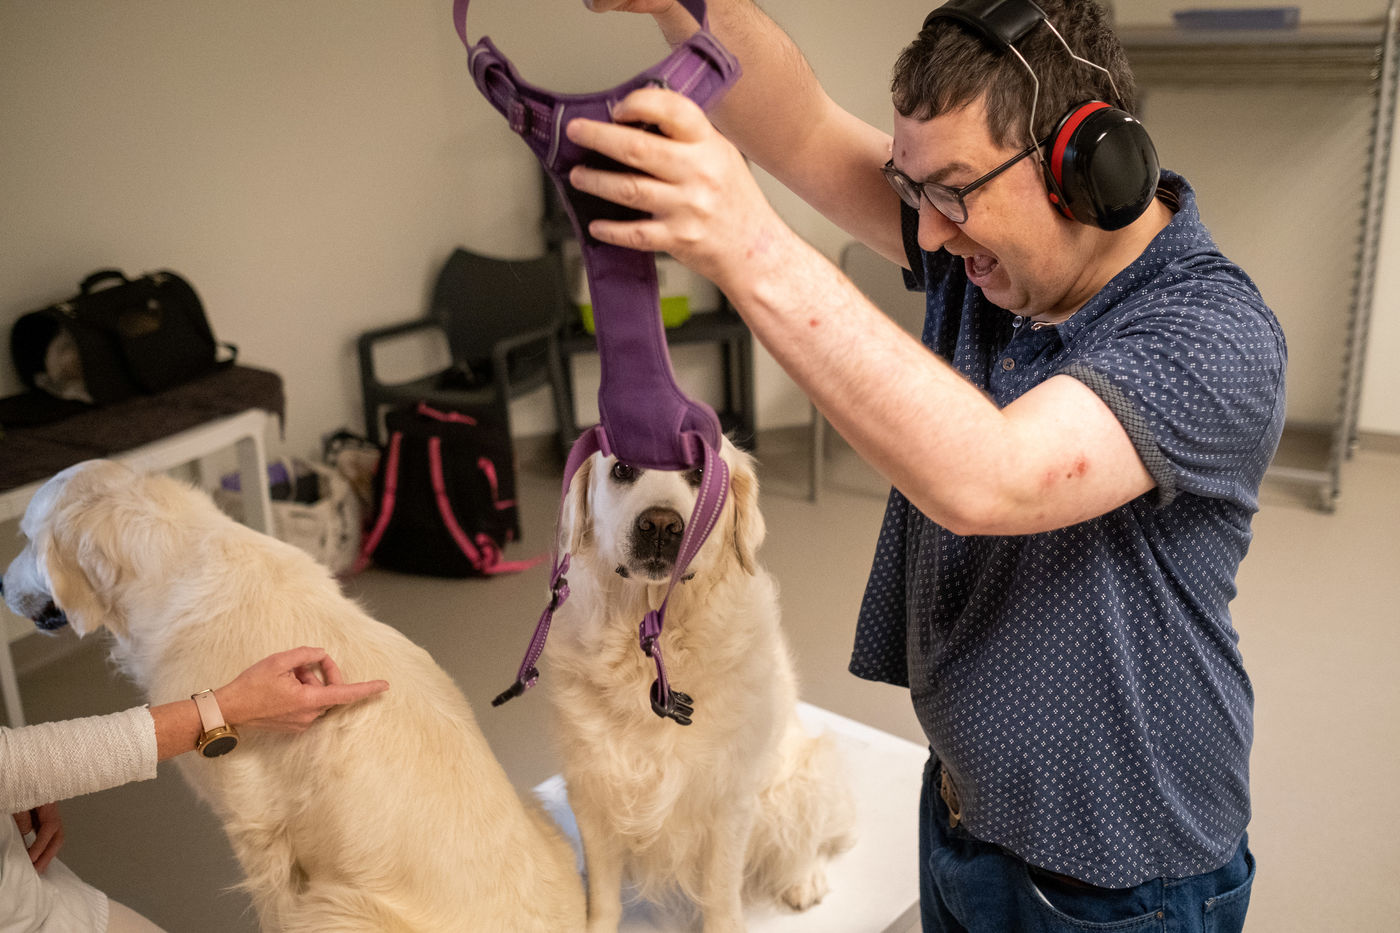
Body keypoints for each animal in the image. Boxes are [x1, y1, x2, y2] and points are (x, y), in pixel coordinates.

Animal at [544, 437, 856, 932]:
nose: (660, 525)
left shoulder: (728, 801)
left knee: (809, 833)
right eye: (623, 469)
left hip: (801, 772)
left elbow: (720, 895)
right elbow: (605, 896)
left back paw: (803, 879)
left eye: (702, 474)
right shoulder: (593, 790)